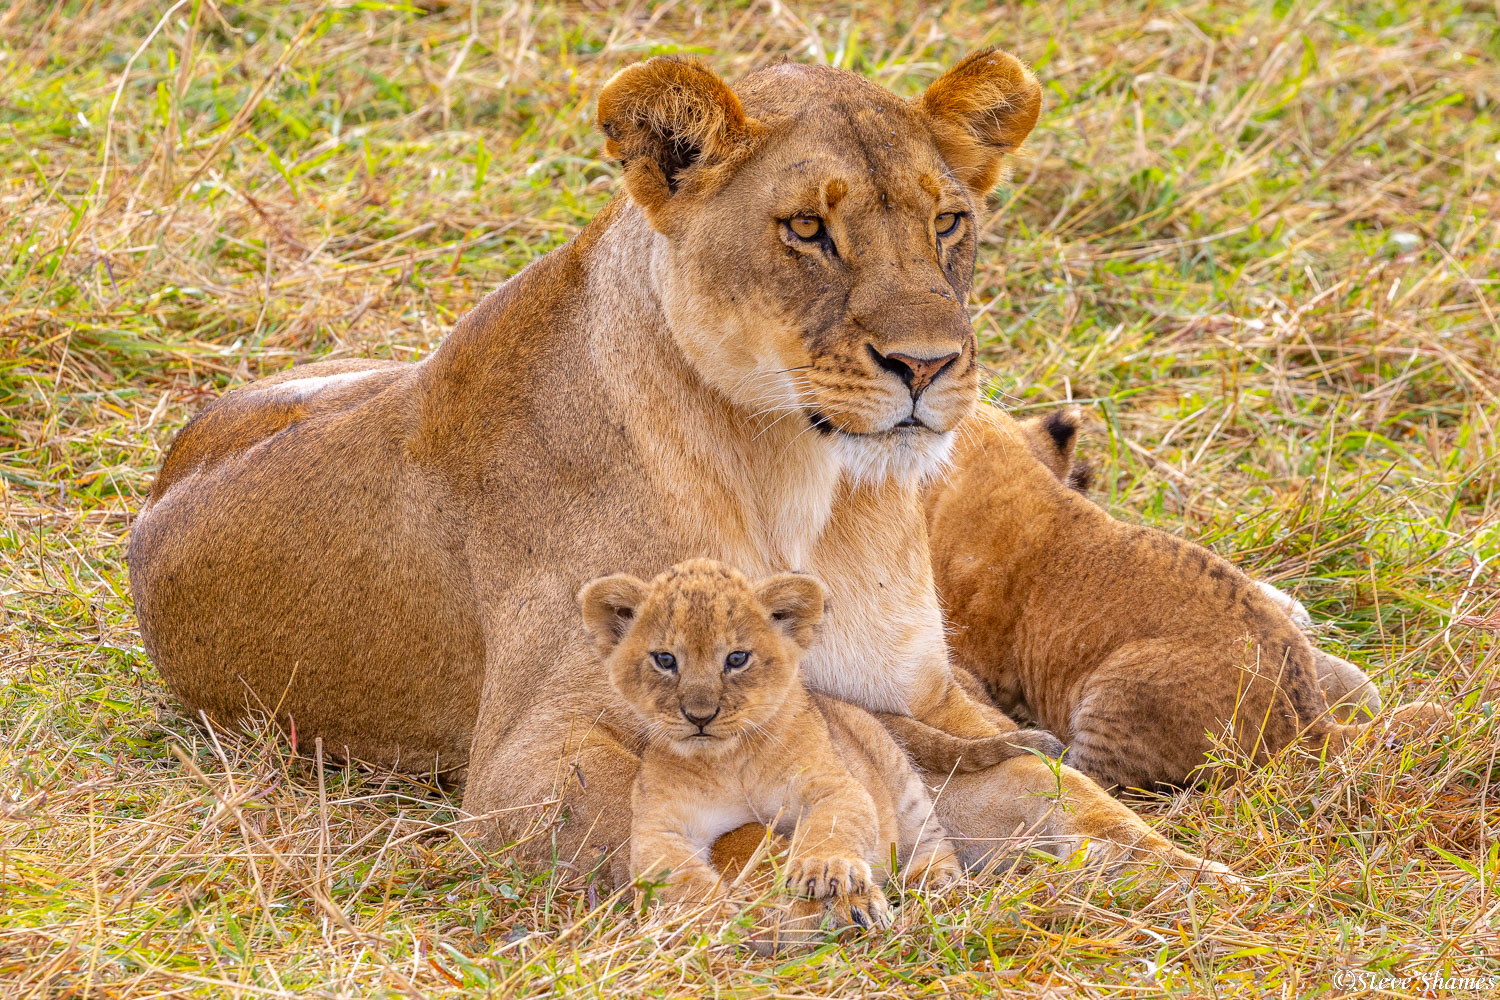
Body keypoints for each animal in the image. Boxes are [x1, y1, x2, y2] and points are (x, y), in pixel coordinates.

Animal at [132, 50, 1218, 887]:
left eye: (946, 222)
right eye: (808, 229)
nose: (929, 365)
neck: (803, 483)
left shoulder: (923, 699)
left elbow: (1066, 794)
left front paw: (1192, 880)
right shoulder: (530, 772)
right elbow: (709, 827)